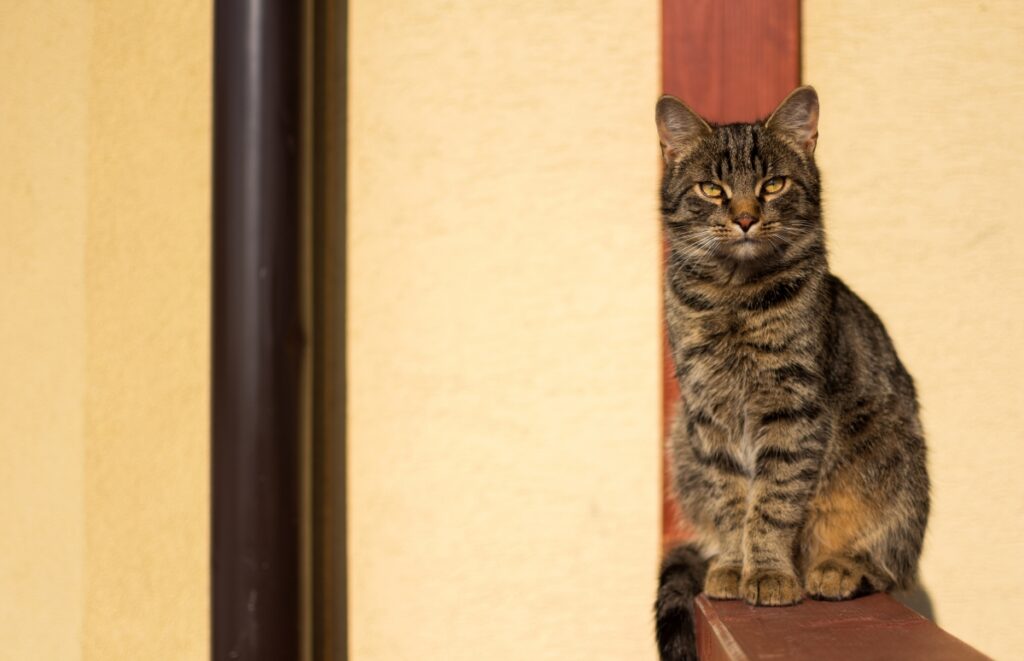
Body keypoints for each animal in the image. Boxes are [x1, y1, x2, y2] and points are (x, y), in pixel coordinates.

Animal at [655, 87, 929, 661]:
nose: (744, 218)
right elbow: (733, 501)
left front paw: (768, 573)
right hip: (681, 442)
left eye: (773, 184)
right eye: (712, 189)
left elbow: (773, 500)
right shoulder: (709, 413)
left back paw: (838, 567)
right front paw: (735, 566)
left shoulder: (792, 407)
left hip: (895, 463)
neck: (735, 296)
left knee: (890, 563)